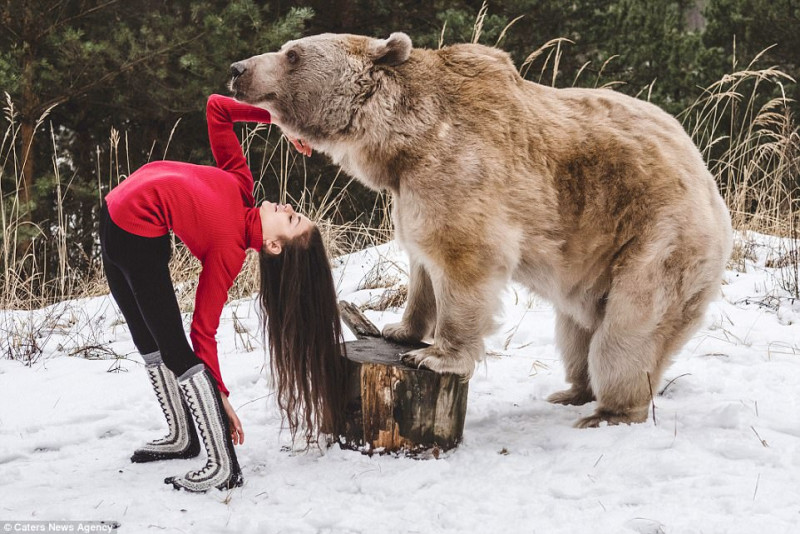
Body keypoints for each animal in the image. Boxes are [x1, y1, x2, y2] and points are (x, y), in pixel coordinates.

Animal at [230, 33, 732, 430]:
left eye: (293, 53)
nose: (238, 69)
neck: (403, 141)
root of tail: (709, 181)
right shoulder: (409, 192)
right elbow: (421, 263)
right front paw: (399, 330)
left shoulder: (462, 169)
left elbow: (464, 261)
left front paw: (435, 355)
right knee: (576, 334)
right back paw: (572, 390)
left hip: (655, 236)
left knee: (626, 333)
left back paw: (608, 410)